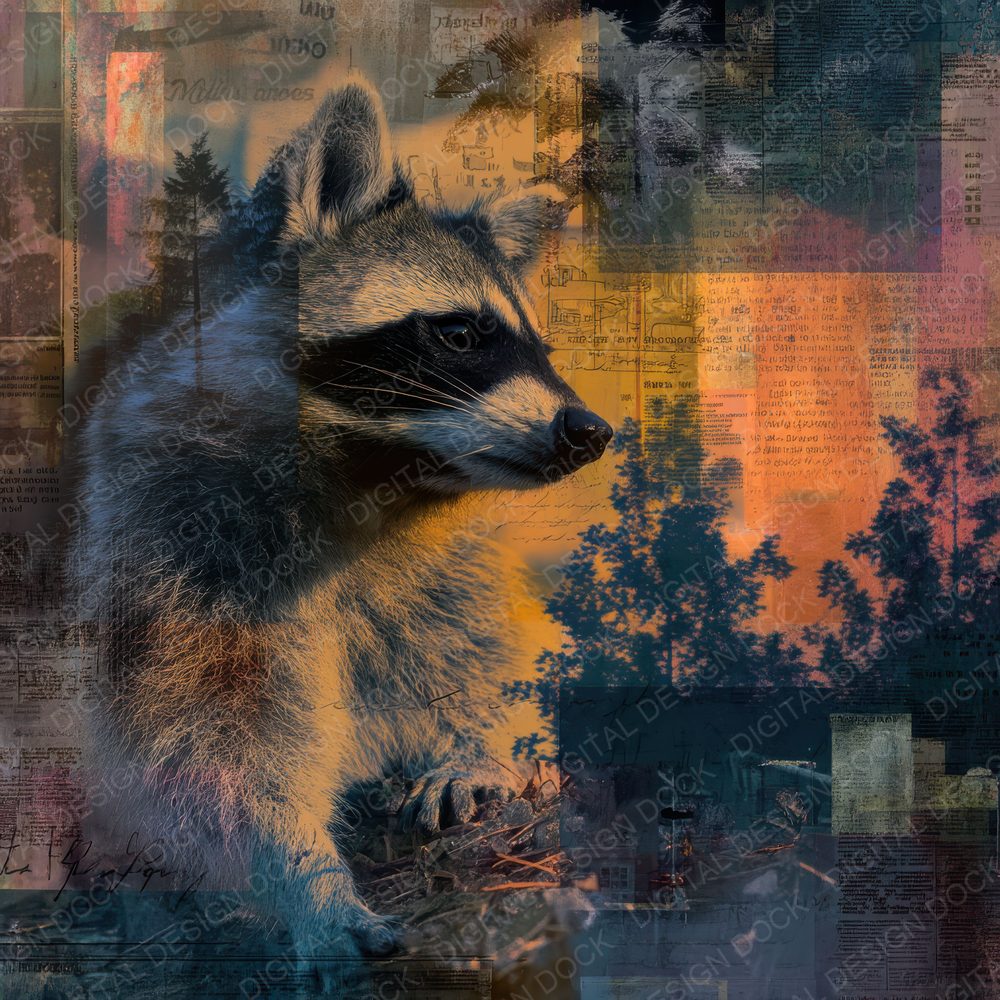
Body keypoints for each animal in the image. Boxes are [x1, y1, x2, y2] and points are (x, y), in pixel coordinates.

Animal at [71, 81, 611, 956]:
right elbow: (212, 751)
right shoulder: (183, 547)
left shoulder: (450, 561)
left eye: (541, 348)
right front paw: (303, 875)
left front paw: (488, 747)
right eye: (460, 333)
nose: (592, 432)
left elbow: (480, 650)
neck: (374, 482)